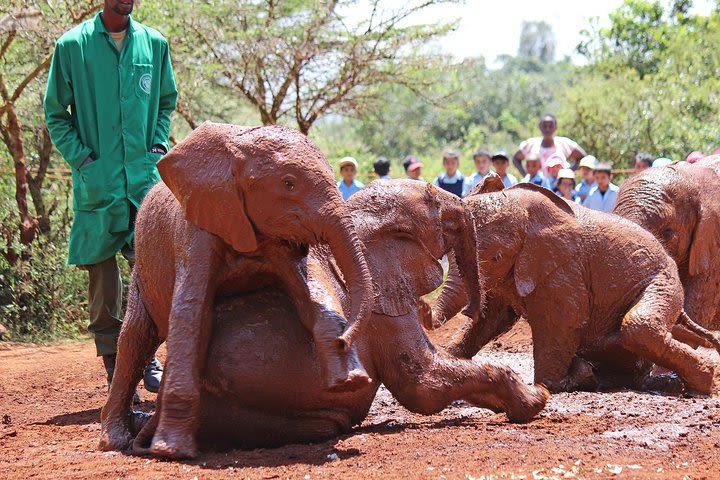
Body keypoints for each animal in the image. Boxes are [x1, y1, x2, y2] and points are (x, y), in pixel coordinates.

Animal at [101, 122, 376, 460]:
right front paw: (171, 450)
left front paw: (350, 380)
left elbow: (310, 295)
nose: (344, 338)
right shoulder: (196, 231)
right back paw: (114, 442)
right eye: (288, 183)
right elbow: (192, 315)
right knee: (135, 338)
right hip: (141, 266)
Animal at [109, 179, 548, 454]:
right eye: (437, 206)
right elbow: (421, 382)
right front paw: (536, 398)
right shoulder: (381, 293)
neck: (355, 217)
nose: (475, 307)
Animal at [424, 174, 716, 392]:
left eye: (495, 257)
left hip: (664, 280)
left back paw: (699, 382)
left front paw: (549, 385)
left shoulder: (565, 264)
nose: (425, 309)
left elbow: (562, 320)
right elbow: (492, 319)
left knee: (639, 328)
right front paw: (450, 361)